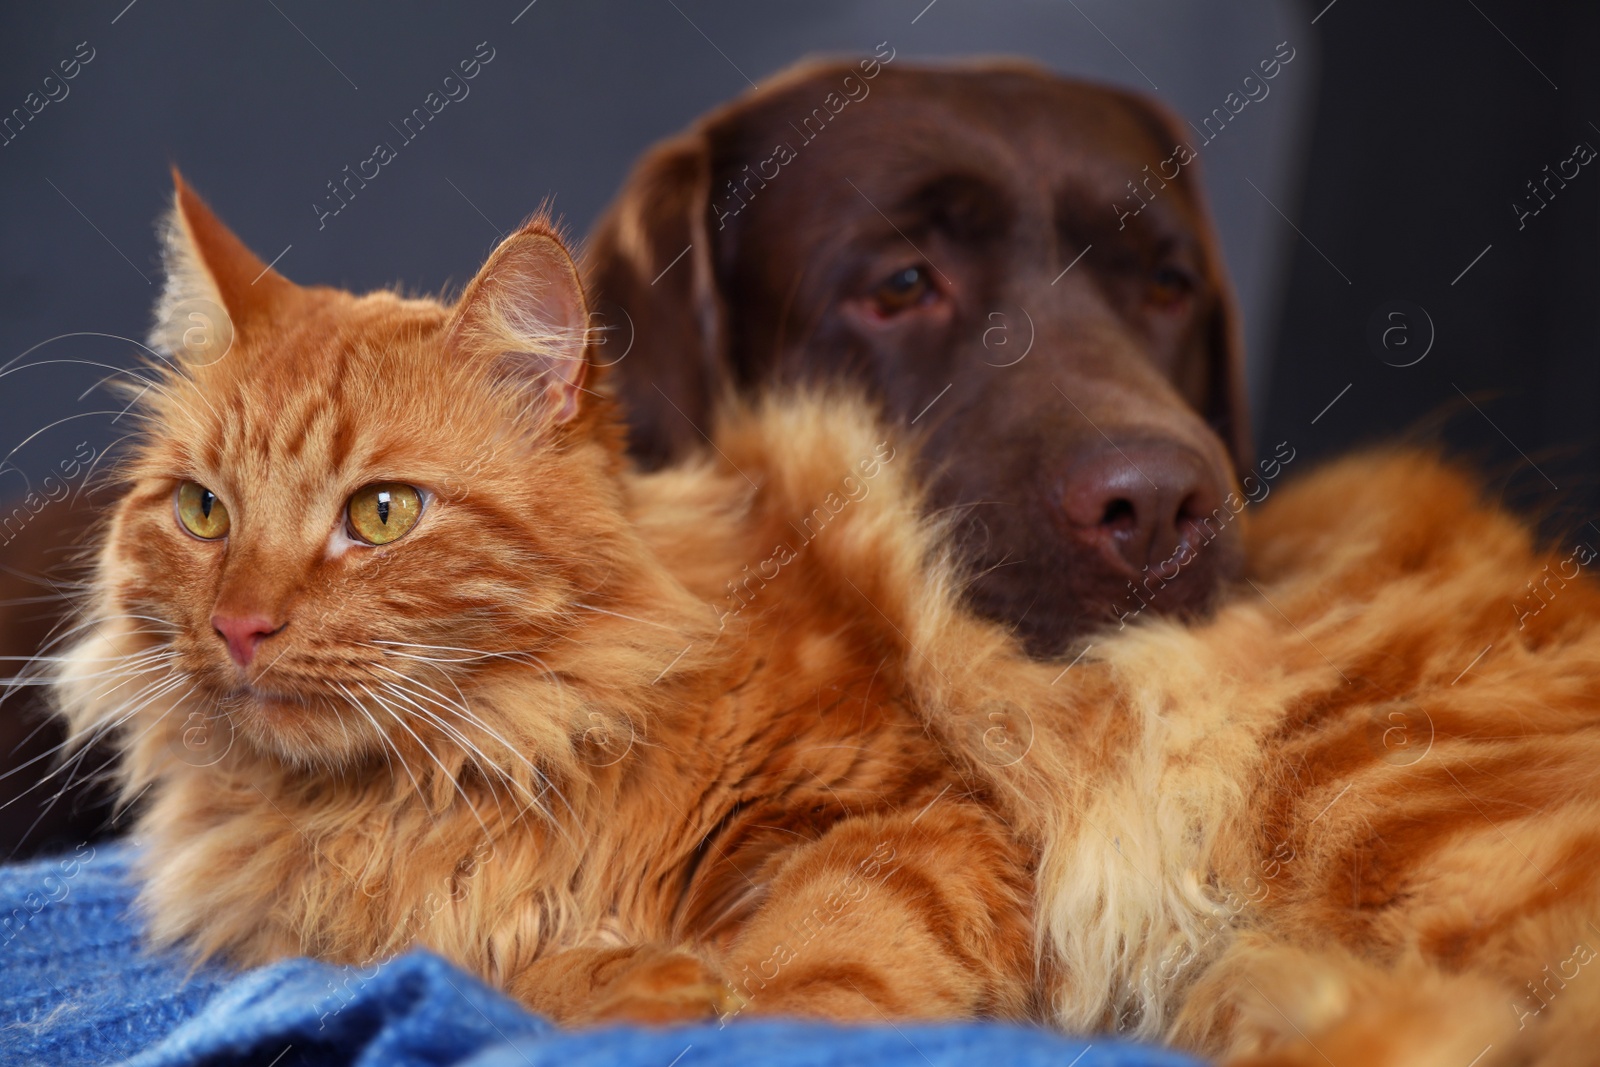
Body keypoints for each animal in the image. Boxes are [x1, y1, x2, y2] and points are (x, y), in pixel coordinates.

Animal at [53, 179, 1036, 1030]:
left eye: (382, 512)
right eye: (203, 511)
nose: (240, 625)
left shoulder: (900, 806)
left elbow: (815, 977)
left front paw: (718, 998)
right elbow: (488, 973)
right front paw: (637, 979)